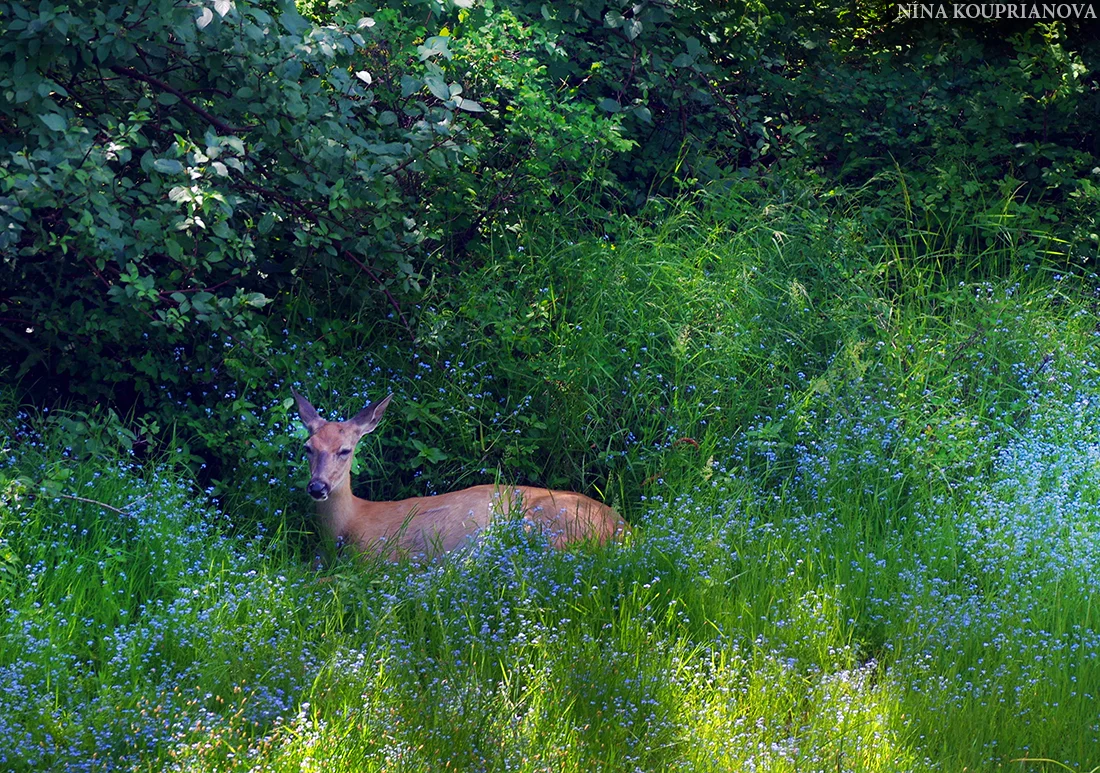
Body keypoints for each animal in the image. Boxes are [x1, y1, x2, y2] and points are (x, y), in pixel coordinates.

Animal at [291, 388, 629, 558]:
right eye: (307, 447)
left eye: (345, 450)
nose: (317, 487)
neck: (348, 523)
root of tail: (624, 530)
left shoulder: (379, 556)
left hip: (539, 524)